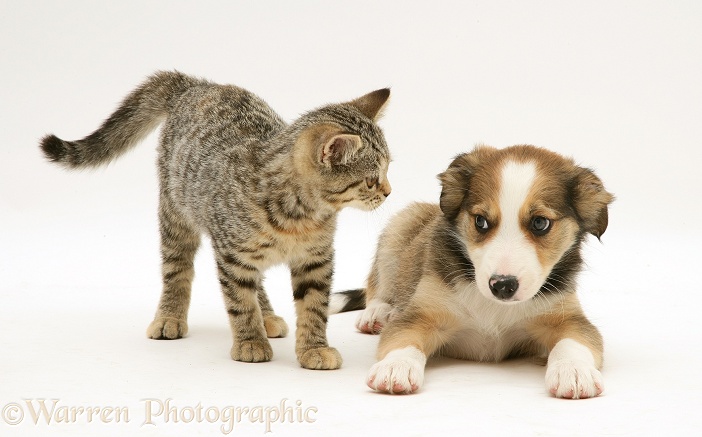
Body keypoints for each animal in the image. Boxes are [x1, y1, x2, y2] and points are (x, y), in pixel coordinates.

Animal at [41, 70, 394, 368]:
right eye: (371, 180)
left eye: (389, 168)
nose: (389, 192)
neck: (299, 215)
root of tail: (195, 84)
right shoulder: (232, 254)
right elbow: (240, 301)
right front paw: (250, 341)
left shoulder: (316, 260)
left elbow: (314, 306)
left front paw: (314, 348)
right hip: (176, 211)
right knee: (177, 268)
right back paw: (171, 316)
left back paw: (267, 316)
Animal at [332, 145, 612, 396]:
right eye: (480, 221)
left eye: (540, 223)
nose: (502, 286)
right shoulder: (420, 314)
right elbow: (403, 339)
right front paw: (395, 366)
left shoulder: (568, 318)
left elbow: (573, 343)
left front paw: (573, 371)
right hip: (399, 228)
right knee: (377, 285)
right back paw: (377, 312)